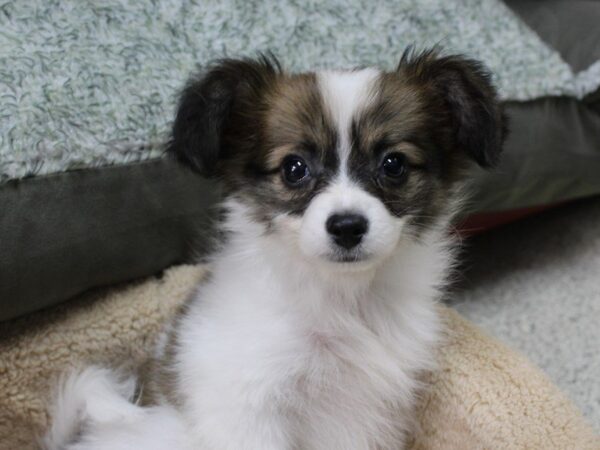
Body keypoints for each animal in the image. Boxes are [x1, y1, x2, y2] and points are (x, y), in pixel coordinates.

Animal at [44, 49, 504, 450]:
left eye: (393, 164)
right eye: (293, 168)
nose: (347, 227)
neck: (340, 302)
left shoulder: (373, 415)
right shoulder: (249, 408)